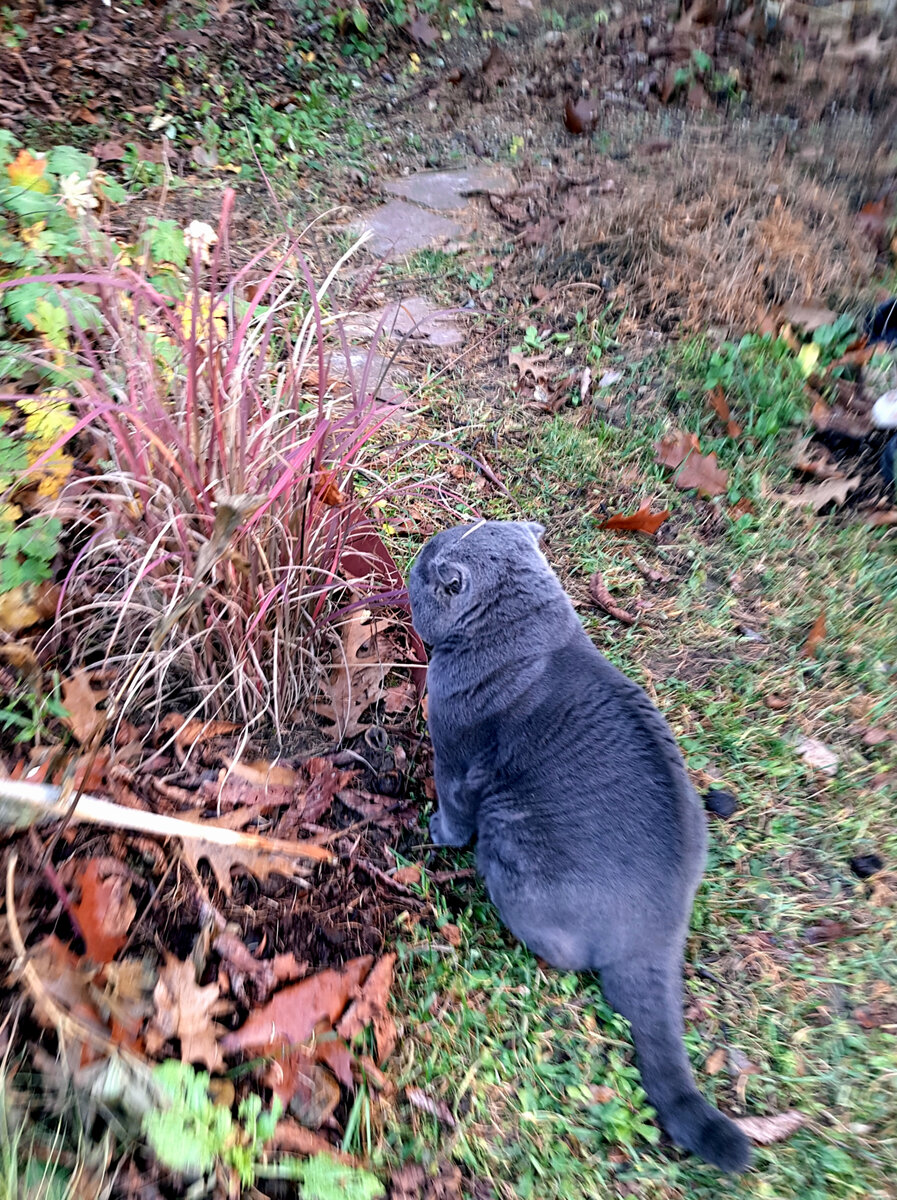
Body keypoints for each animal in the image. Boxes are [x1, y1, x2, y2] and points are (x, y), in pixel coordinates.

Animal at [410, 518, 753, 1171]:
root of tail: (661, 931)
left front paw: (434, 832)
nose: (414, 562)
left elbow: (453, 806)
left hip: (511, 849)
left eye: (421, 572)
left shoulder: (456, 755)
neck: (522, 635)